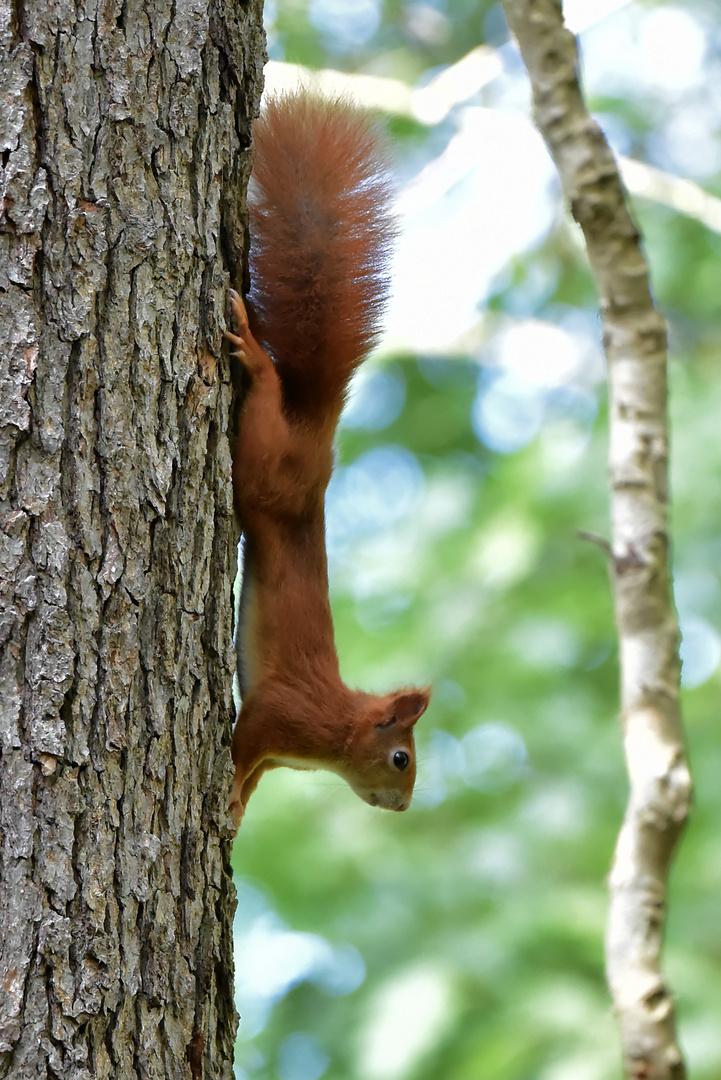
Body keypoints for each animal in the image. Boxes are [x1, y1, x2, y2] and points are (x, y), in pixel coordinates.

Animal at [225, 90, 427, 825]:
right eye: (400, 758)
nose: (400, 808)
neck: (335, 728)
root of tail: (315, 431)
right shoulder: (279, 714)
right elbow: (242, 747)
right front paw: (229, 793)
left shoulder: (281, 747)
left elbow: (256, 773)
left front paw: (237, 808)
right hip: (264, 460)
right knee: (262, 399)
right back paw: (254, 355)